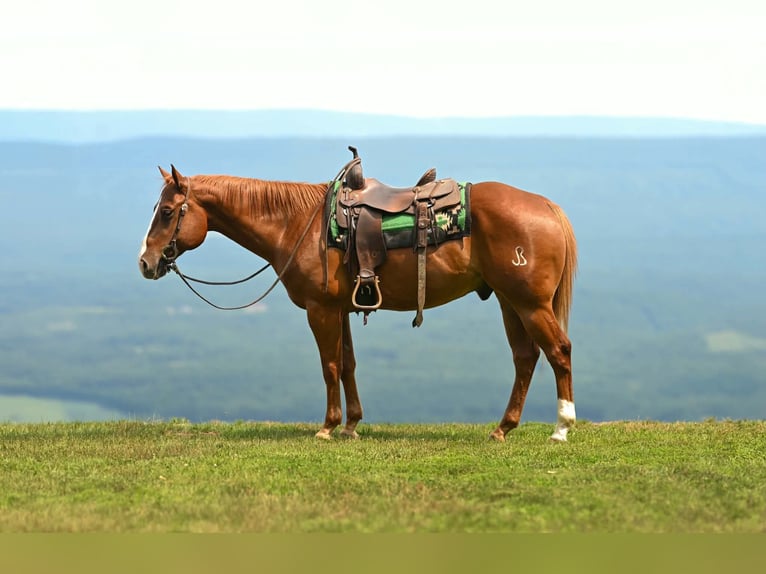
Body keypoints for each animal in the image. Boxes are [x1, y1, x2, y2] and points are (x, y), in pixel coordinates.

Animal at [138, 160, 578, 442]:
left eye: (167, 212)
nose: (145, 262)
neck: (297, 224)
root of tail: (547, 207)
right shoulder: (342, 309)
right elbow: (348, 364)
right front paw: (352, 425)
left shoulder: (320, 310)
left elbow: (329, 366)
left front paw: (328, 426)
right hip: (509, 301)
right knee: (525, 357)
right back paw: (504, 427)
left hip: (529, 303)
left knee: (558, 351)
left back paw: (561, 428)